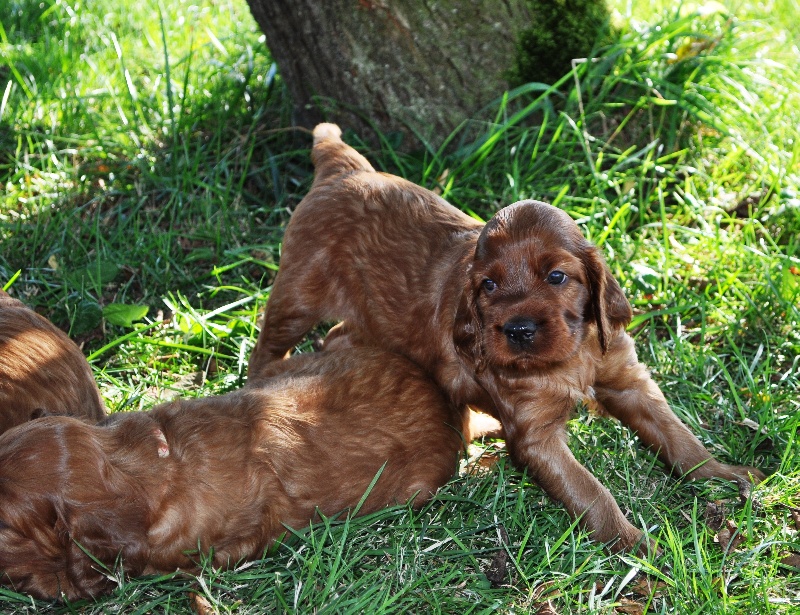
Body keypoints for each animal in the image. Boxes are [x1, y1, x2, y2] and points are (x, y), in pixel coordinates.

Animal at [248, 123, 765, 554]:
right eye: (489, 286)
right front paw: (639, 547)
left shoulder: (627, 381)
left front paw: (723, 475)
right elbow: (591, 492)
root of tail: (345, 167)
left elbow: (678, 437)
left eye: (557, 276)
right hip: (298, 295)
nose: (517, 330)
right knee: (267, 347)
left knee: (336, 334)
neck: (572, 354)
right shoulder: (536, 435)